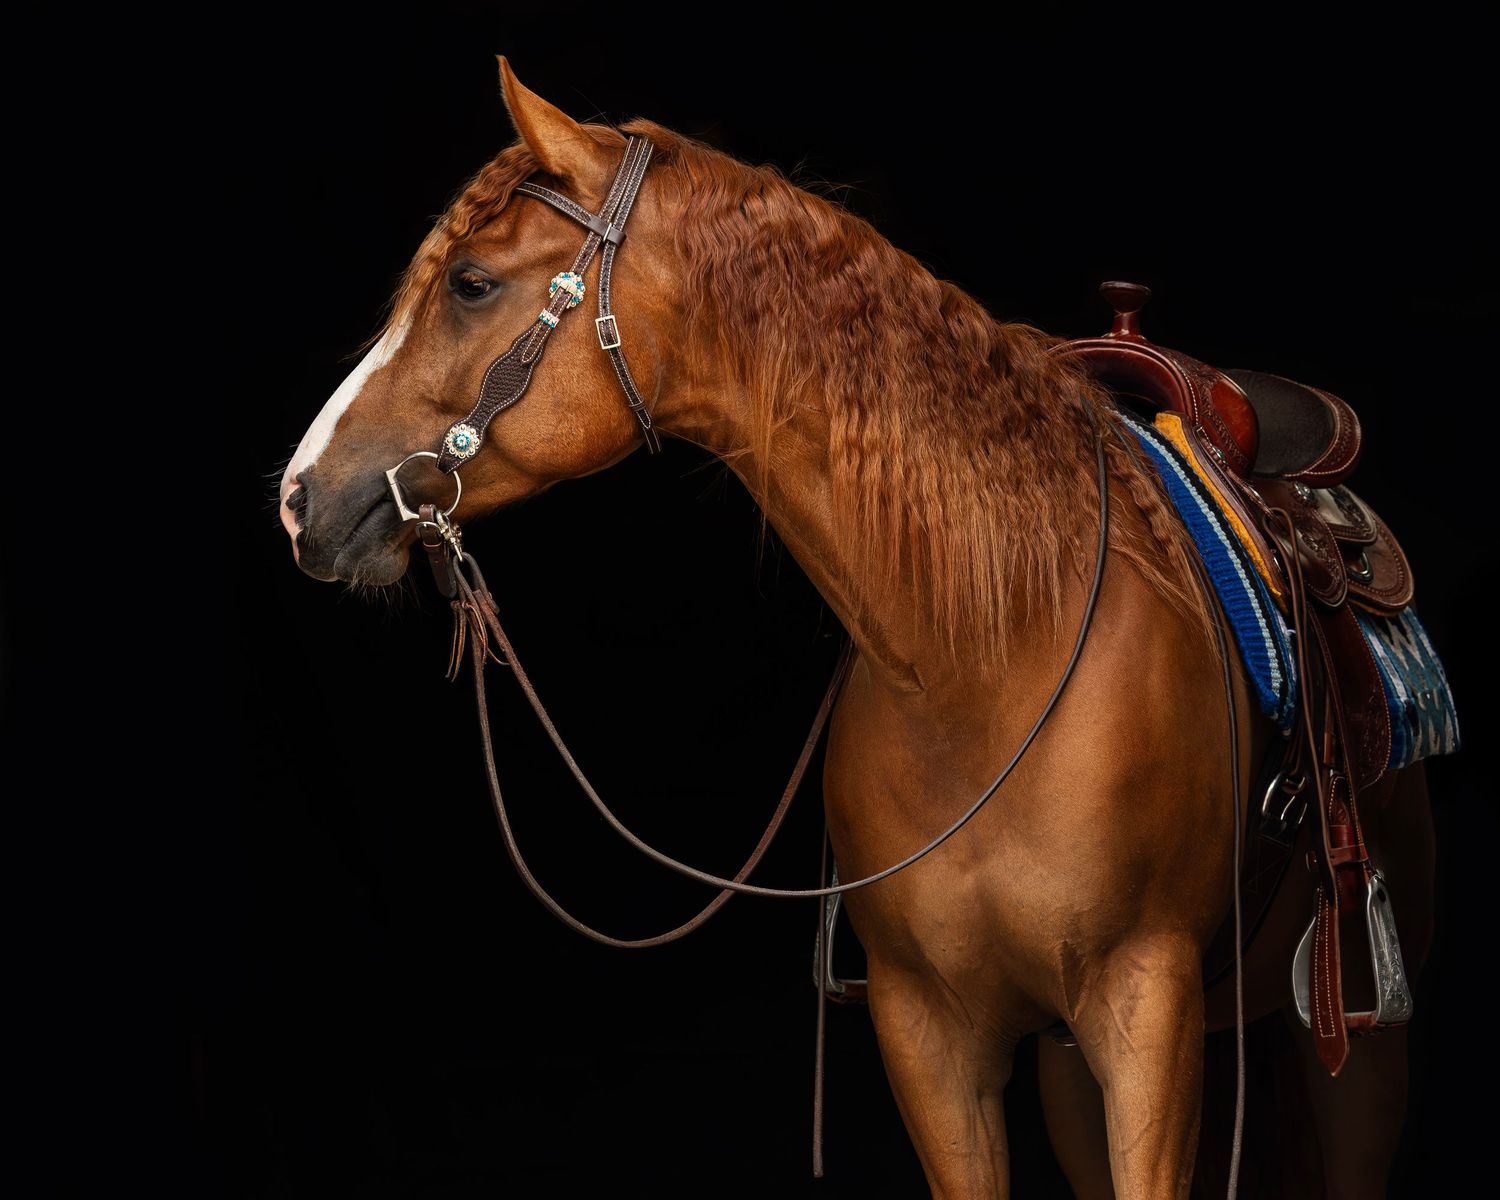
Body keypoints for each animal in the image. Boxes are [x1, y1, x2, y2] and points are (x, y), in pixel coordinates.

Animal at [275, 56, 1436, 1198]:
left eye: (470, 284)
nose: (300, 498)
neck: (985, 666)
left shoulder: (1148, 1012)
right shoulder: (930, 1033)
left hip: (1353, 1054)